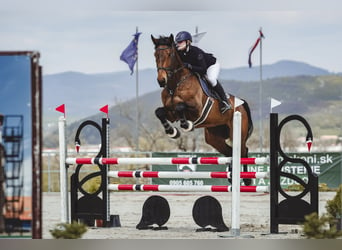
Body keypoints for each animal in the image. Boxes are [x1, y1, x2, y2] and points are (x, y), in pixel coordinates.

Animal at [151, 34, 252, 185]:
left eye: (170, 54)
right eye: (155, 55)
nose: (161, 81)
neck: (176, 83)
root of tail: (241, 104)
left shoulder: (197, 110)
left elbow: (181, 106)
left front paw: (187, 125)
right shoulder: (171, 113)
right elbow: (159, 112)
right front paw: (172, 132)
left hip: (238, 132)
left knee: (243, 150)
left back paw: (247, 179)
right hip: (214, 137)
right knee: (230, 152)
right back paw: (231, 176)